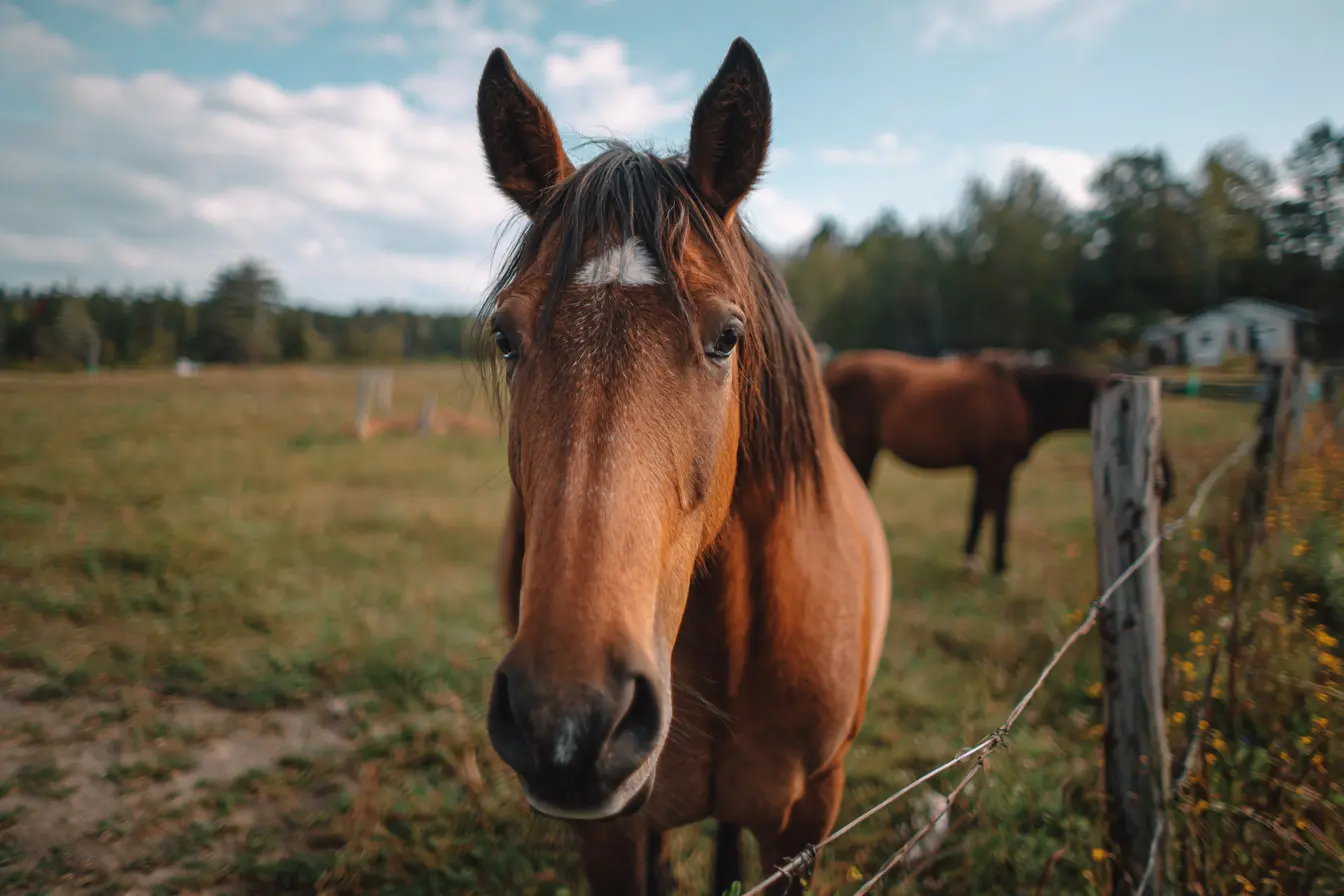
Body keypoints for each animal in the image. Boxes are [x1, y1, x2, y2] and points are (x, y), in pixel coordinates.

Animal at [822, 349, 1175, 577]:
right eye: (1151, 426)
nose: (1165, 483)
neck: (1022, 398)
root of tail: (833, 369)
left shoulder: (988, 468)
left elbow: (981, 509)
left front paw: (974, 560)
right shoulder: (997, 466)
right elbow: (999, 511)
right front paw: (998, 567)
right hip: (861, 450)